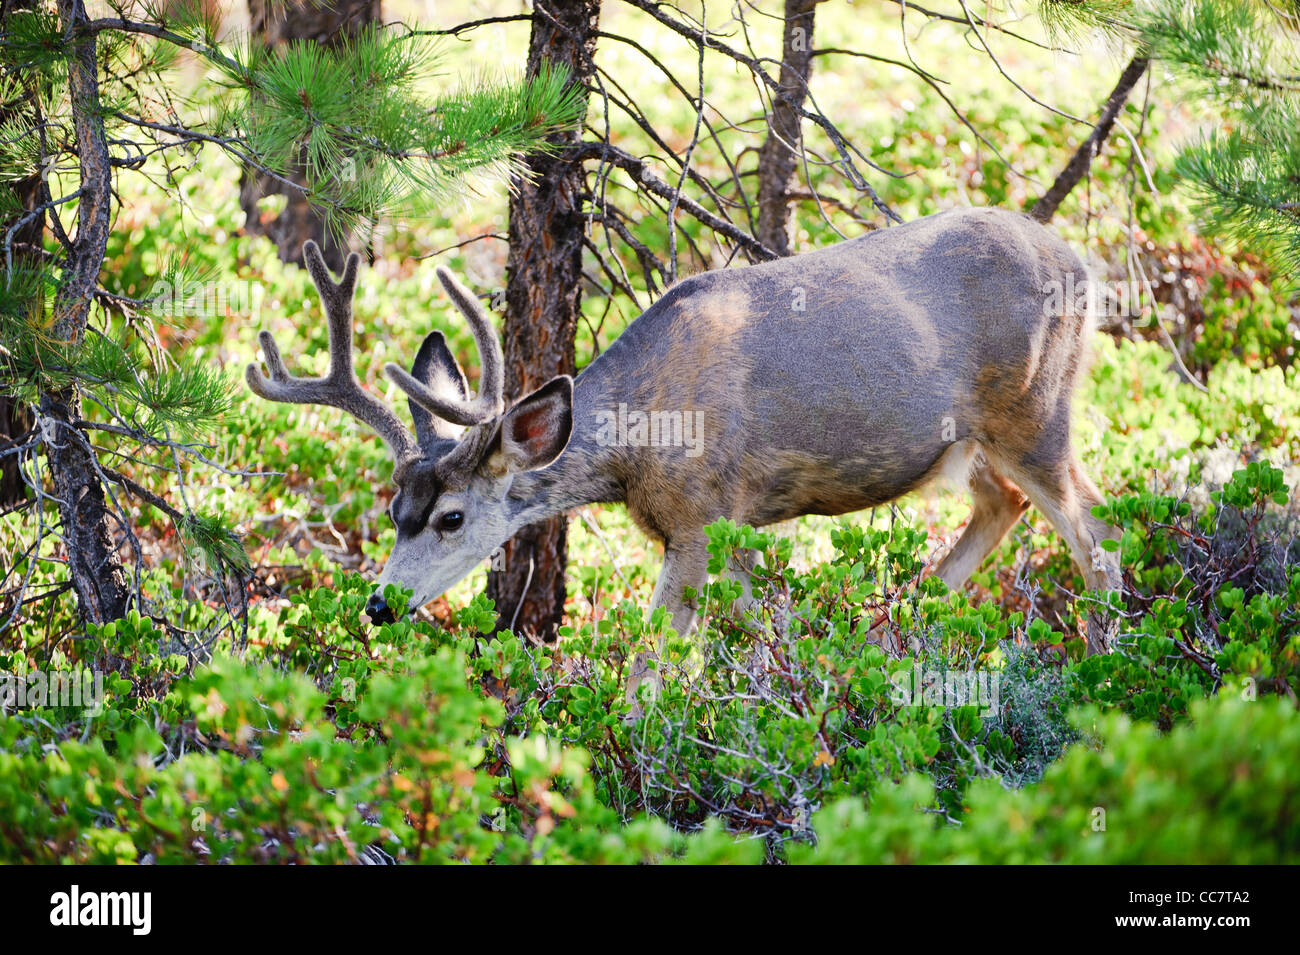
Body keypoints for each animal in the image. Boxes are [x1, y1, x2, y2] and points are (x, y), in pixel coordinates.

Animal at [248, 206, 1123, 660]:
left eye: (453, 516)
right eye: (393, 511)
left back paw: (1105, 662)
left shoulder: (701, 511)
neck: (641, 439)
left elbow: (653, 656)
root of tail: (1083, 262)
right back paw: (886, 633)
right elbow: (763, 622)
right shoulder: (731, 522)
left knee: (1096, 530)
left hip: (1036, 407)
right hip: (968, 440)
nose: (379, 604)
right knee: (1002, 503)